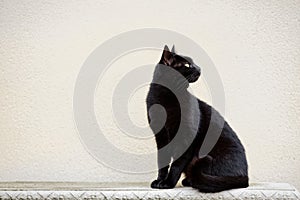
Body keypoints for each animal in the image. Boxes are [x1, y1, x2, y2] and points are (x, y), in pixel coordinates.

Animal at [146, 45, 248, 192]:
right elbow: (162, 162)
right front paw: (159, 181)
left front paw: (168, 183)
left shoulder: (186, 137)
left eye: (193, 63)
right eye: (187, 64)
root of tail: (246, 178)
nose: (199, 68)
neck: (166, 96)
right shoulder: (160, 136)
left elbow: (176, 165)